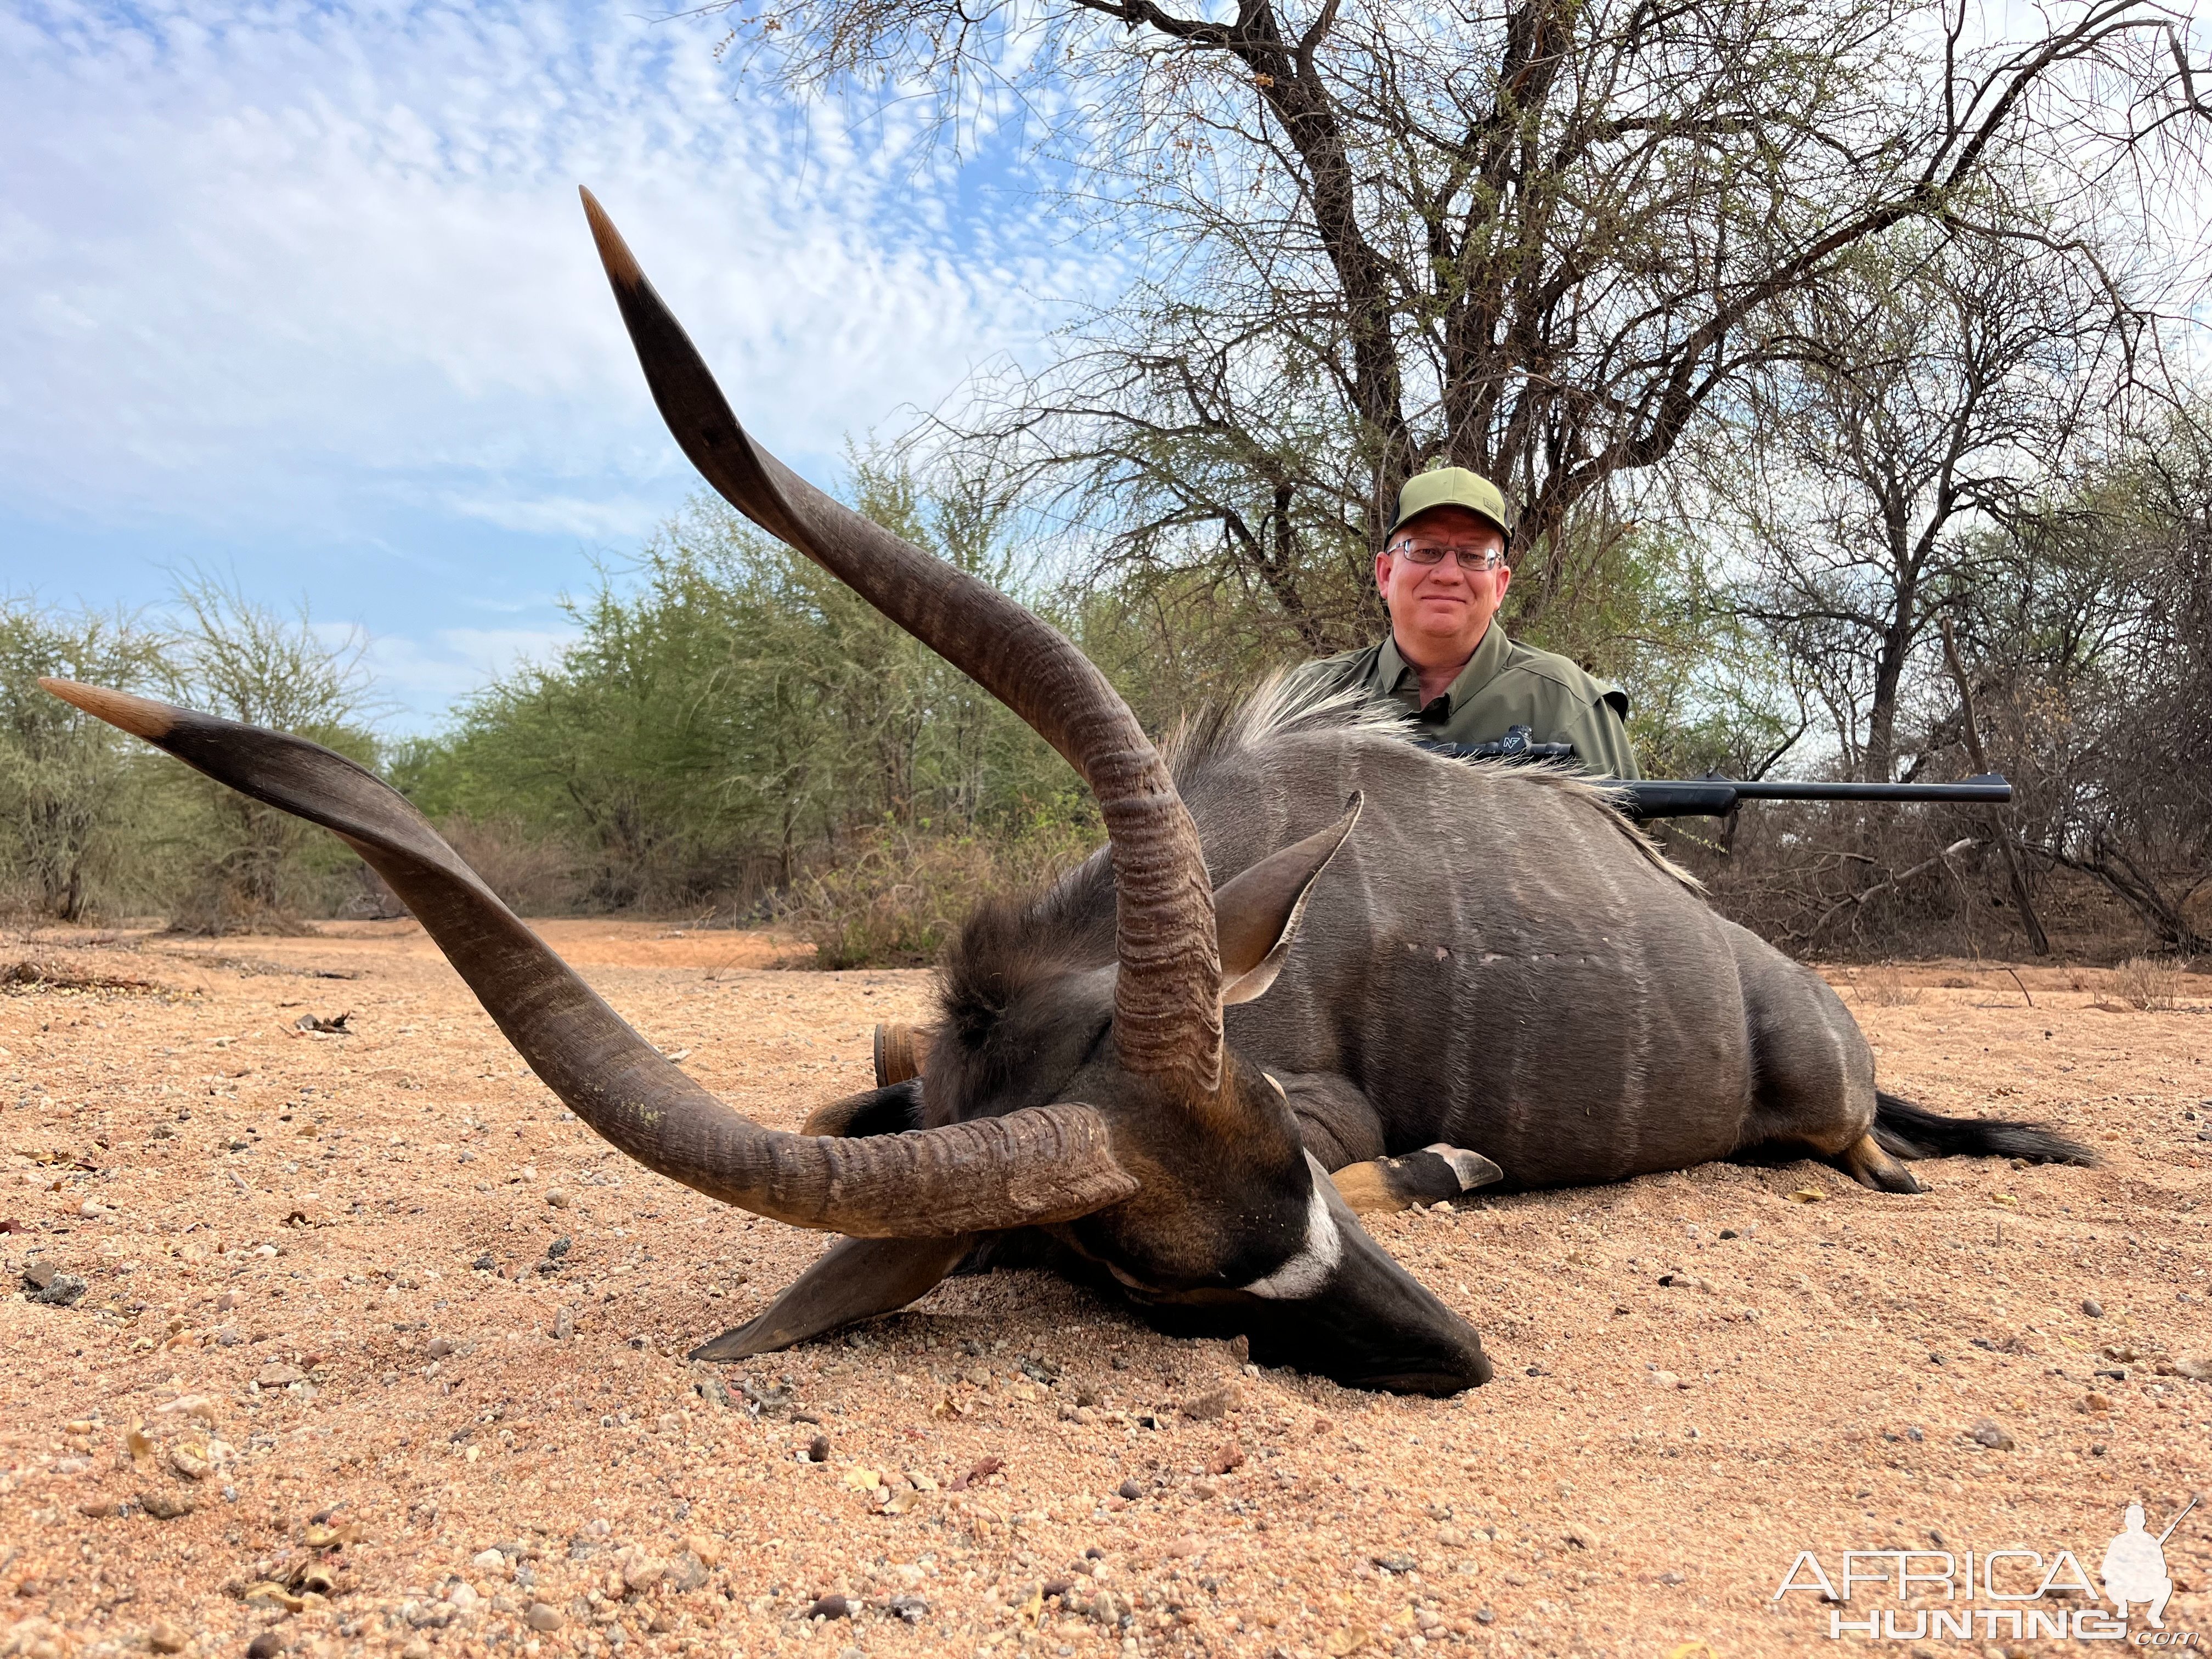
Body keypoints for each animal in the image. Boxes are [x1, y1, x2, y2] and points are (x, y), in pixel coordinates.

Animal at [39, 188, 2088, 1398]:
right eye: (1169, 1281)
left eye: (1291, 1174)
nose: (1458, 1362)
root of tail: (1774, 983)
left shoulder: (1338, 1097)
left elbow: (1404, 1149)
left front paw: (1456, 1167)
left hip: (1822, 1113)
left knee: (1864, 1145)